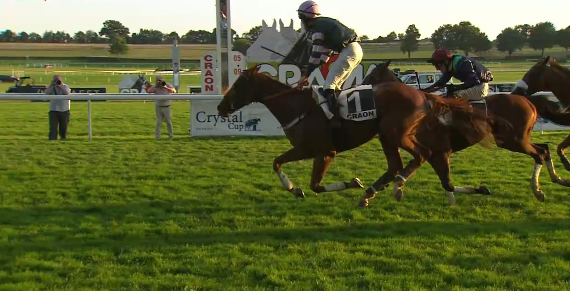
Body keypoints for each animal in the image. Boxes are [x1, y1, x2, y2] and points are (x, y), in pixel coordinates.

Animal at [217, 63, 492, 206]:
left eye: (238, 85)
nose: (221, 107)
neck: (296, 107)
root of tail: (421, 94)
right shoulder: (304, 149)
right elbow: (277, 163)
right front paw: (294, 189)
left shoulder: (324, 152)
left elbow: (316, 185)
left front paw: (352, 182)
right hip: (394, 135)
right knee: (407, 161)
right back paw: (379, 190)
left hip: (392, 133)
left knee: (416, 157)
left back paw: (393, 187)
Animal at [364, 61, 568, 203]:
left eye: (371, 77)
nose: (359, 88)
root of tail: (528, 100)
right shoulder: (435, 154)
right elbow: (447, 184)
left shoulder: (439, 152)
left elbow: (446, 183)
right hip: (516, 139)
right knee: (545, 148)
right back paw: (558, 178)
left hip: (514, 140)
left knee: (539, 153)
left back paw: (538, 190)